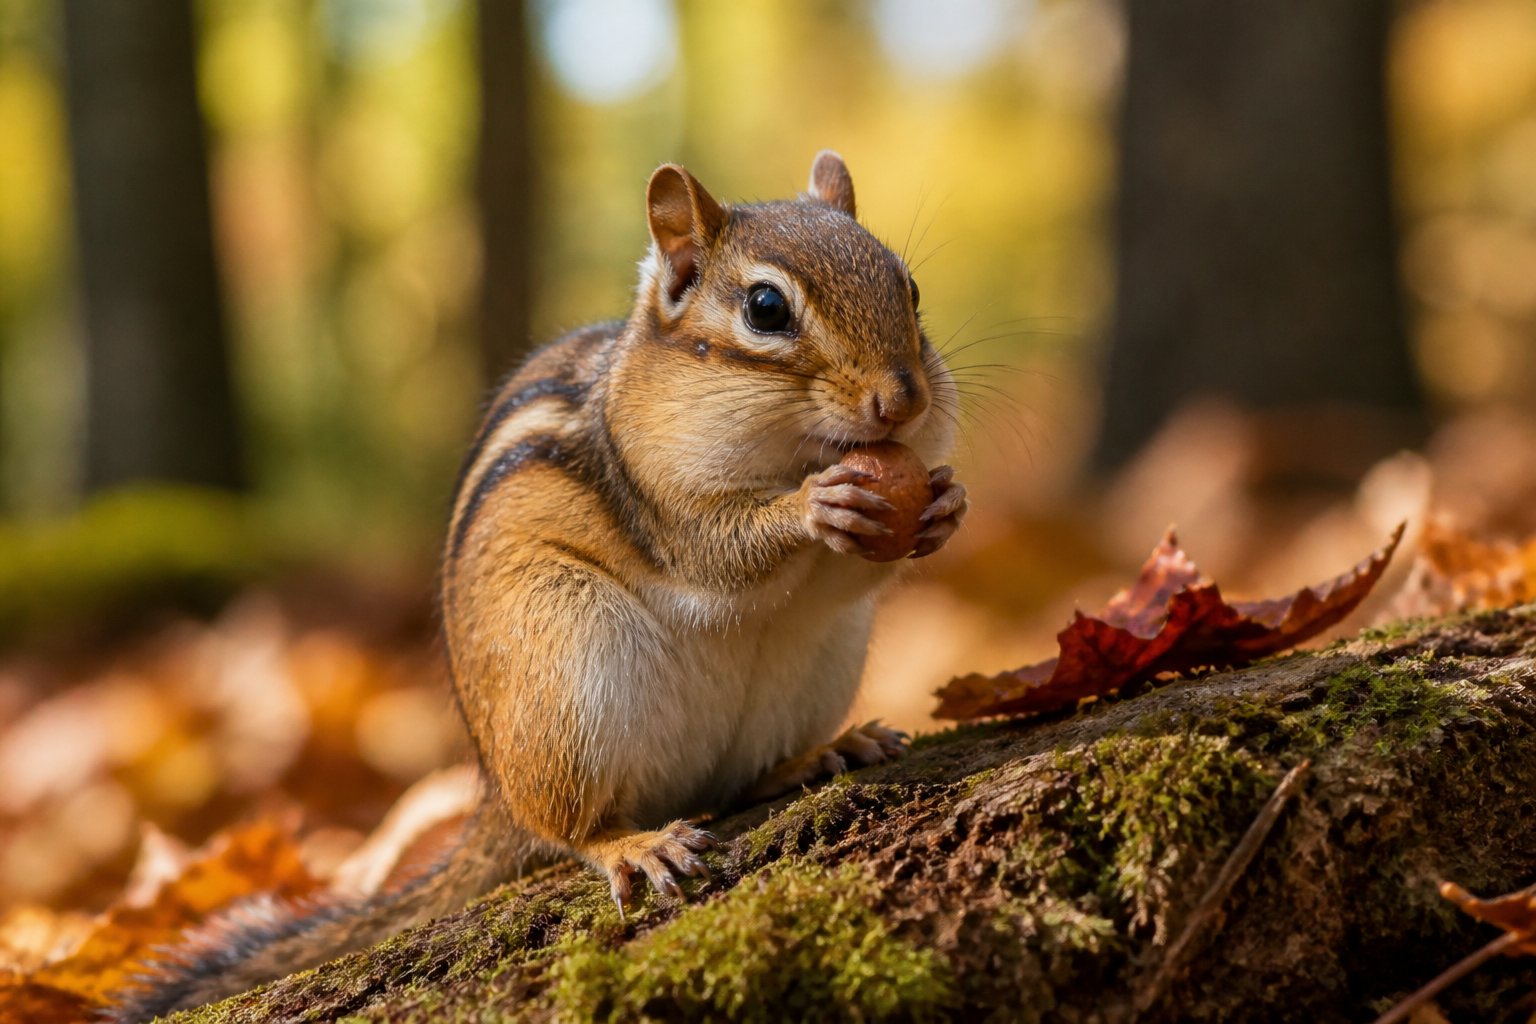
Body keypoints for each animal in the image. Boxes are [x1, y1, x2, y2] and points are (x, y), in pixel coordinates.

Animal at [115, 151, 967, 1019]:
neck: (788, 451)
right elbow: (718, 551)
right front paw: (813, 505)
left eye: (909, 288)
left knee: (737, 780)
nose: (904, 400)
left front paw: (945, 506)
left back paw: (820, 752)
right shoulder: (653, 494)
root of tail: (494, 788)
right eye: (766, 308)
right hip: (566, 673)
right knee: (569, 829)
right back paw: (633, 843)